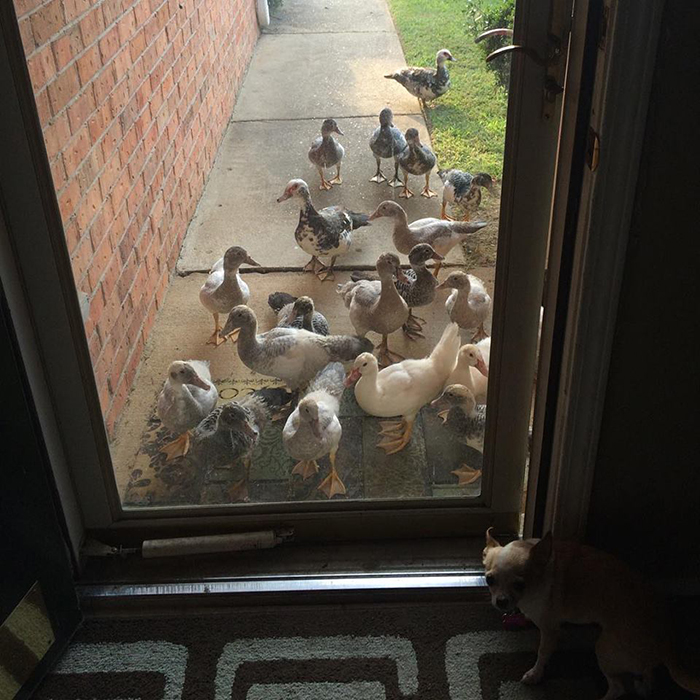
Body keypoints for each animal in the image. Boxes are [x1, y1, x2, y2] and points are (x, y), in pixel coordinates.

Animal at [484, 528, 696, 696]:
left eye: (520, 585)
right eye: (489, 580)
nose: (501, 601)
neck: (543, 572)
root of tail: (668, 643)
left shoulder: (550, 628)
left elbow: (543, 652)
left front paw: (535, 674)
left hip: (605, 649)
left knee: (619, 688)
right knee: (646, 673)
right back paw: (644, 686)